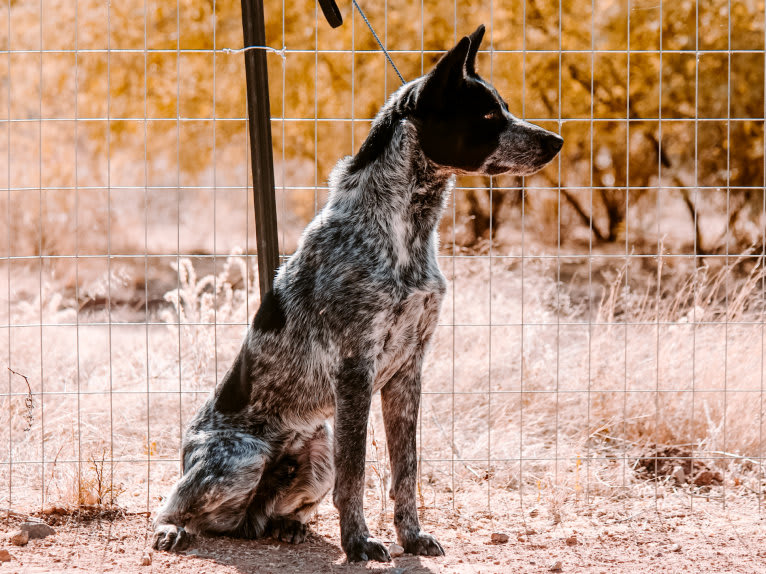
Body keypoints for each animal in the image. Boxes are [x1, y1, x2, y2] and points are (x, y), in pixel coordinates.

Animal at [154, 24, 564, 564]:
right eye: (487, 116)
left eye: (506, 108)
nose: (556, 141)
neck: (405, 227)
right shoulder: (356, 369)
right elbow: (358, 474)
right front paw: (359, 542)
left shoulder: (408, 371)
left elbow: (406, 470)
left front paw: (410, 536)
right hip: (239, 459)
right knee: (176, 505)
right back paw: (173, 529)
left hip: (316, 452)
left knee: (256, 519)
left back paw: (286, 526)